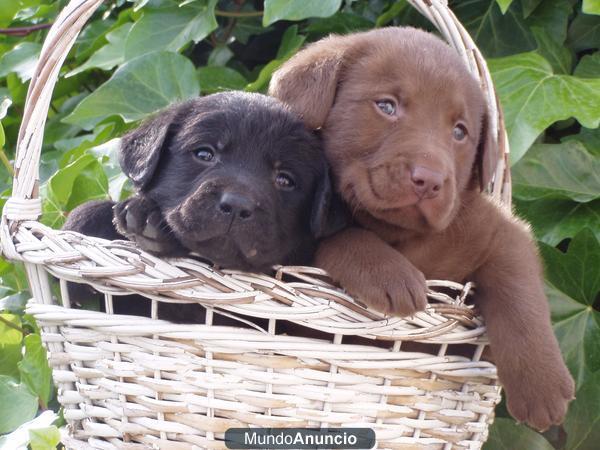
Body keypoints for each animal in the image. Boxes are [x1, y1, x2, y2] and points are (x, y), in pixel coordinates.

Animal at [270, 26, 576, 430]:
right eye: (386, 106)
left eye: (460, 132)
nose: (429, 180)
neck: (403, 237)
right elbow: (342, 235)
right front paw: (391, 276)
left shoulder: (501, 231)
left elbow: (519, 294)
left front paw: (542, 385)